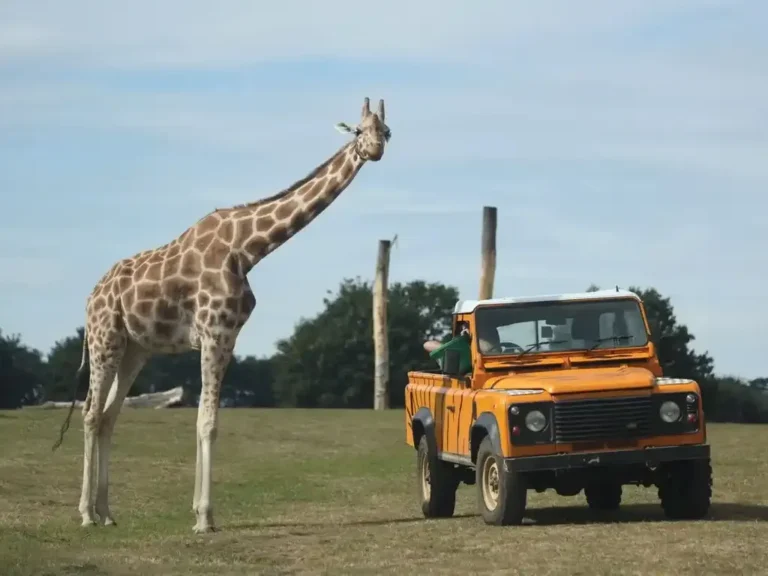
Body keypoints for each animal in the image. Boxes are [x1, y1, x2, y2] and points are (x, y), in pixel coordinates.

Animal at [51, 97, 391, 534]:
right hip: (104, 340)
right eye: (359, 130)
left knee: (109, 415)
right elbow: (207, 422)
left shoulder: (228, 336)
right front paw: (204, 519)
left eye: (386, 131)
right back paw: (85, 514)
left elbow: (205, 419)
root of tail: (91, 296)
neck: (247, 249)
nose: (375, 149)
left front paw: (199, 512)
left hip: (134, 350)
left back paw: (107, 512)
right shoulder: (215, 331)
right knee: (91, 414)